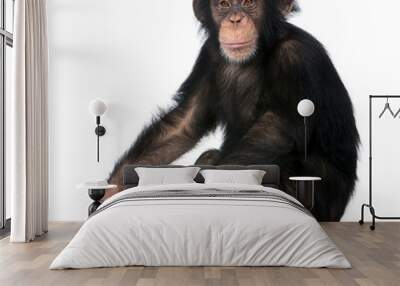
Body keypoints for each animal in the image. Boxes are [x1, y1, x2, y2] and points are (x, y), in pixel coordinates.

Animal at [106, 0, 360, 221]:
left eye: (249, 2)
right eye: (224, 4)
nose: (235, 19)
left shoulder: (296, 58)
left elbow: (274, 131)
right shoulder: (208, 56)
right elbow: (184, 123)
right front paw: (112, 191)